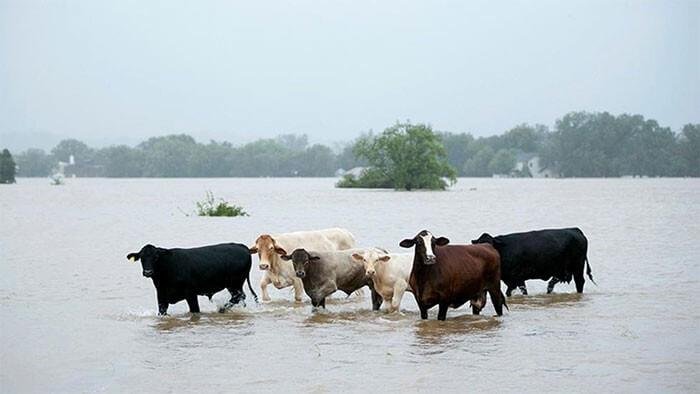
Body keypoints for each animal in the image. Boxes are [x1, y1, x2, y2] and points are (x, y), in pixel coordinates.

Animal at [126, 242, 258, 316]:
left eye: (156, 257)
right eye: (142, 257)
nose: (148, 272)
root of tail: (241, 246)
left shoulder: (191, 293)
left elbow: (195, 310)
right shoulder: (161, 294)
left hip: (234, 283)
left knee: (239, 297)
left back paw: (221, 309)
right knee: (240, 298)